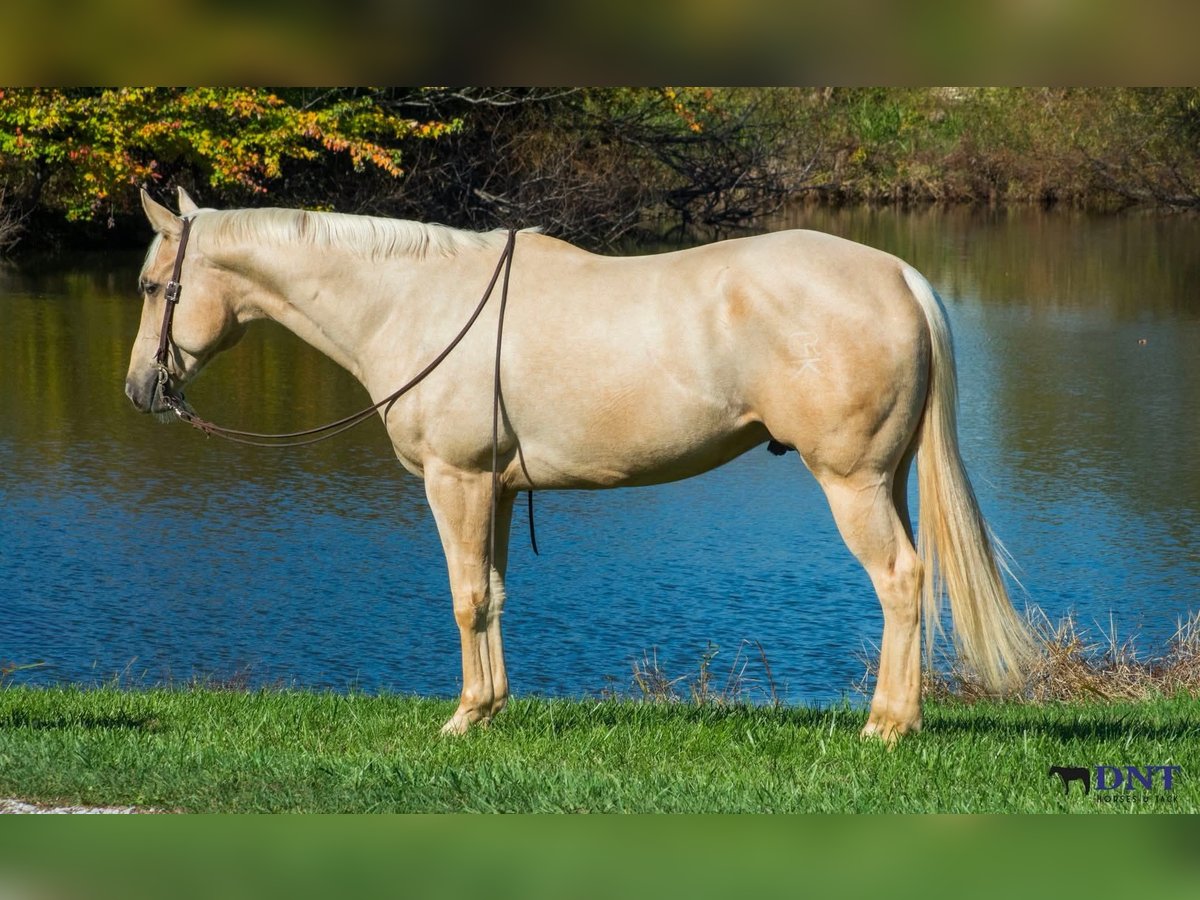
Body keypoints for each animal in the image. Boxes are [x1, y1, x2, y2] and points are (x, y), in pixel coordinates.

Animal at [126, 187, 1034, 742]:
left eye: (146, 285)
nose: (140, 388)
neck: (414, 303)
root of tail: (897, 272)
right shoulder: (493, 489)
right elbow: (492, 595)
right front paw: (491, 710)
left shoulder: (454, 481)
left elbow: (463, 598)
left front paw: (462, 718)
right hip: (887, 481)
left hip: (852, 485)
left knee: (901, 582)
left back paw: (885, 725)